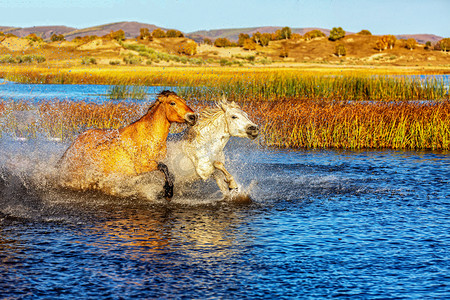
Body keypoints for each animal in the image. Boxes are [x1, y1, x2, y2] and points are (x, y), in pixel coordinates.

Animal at [57, 90, 195, 200]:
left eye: (184, 101)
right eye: (172, 103)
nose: (193, 117)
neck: (149, 137)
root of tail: (76, 141)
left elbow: (169, 173)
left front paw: (166, 190)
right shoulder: (141, 166)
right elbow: (164, 167)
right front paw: (168, 193)